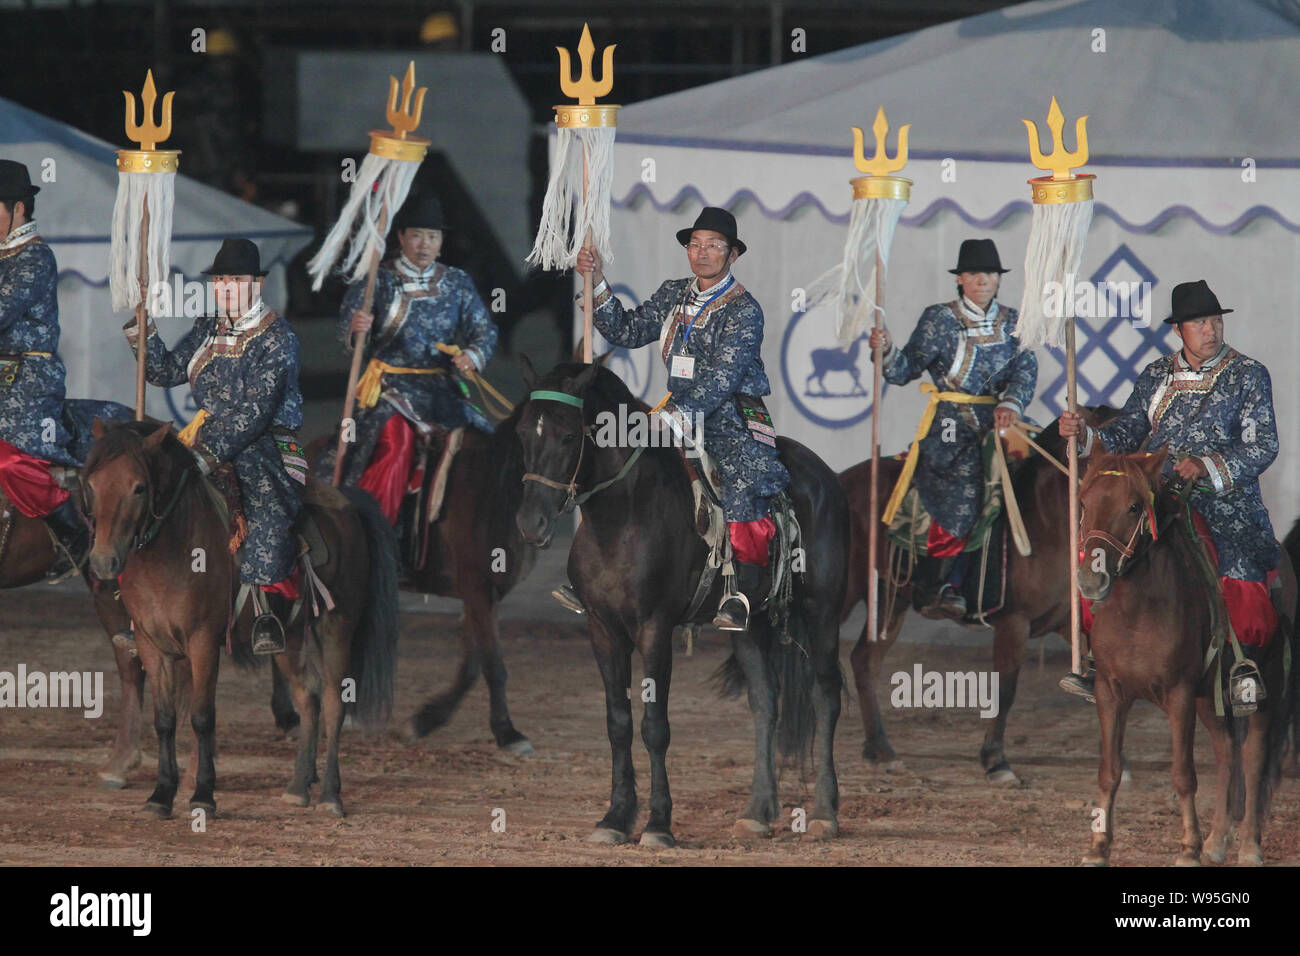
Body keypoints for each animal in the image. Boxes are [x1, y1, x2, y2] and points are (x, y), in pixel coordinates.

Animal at [83, 421, 397, 816]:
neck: (175, 547)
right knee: (306, 697)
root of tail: (348, 507)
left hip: (337, 626)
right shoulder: (151, 645)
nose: (103, 561)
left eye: (139, 487)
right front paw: (160, 796)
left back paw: (329, 795)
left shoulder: (203, 642)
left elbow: (202, 717)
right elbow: (165, 720)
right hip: (289, 638)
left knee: (332, 702)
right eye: (92, 485)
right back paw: (298, 786)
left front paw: (203, 794)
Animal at [842, 411, 1118, 785]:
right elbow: (1005, 689)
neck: (1044, 517)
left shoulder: (1064, 622)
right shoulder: (1013, 624)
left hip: (890, 598)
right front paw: (996, 761)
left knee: (864, 661)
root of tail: (840, 479)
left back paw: (881, 751)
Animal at [1071, 447, 1294, 868]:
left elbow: (1183, 774)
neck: (1137, 611)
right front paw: (1098, 847)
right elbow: (1109, 770)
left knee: (1253, 757)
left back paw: (1248, 846)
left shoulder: (1179, 695)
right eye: (1084, 503)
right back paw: (1217, 841)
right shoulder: (1110, 692)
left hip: (1265, 688)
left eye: (1133, 506)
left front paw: (1188, 848)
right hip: (1210, 698)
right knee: (1226, 752)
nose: (1091, 580)